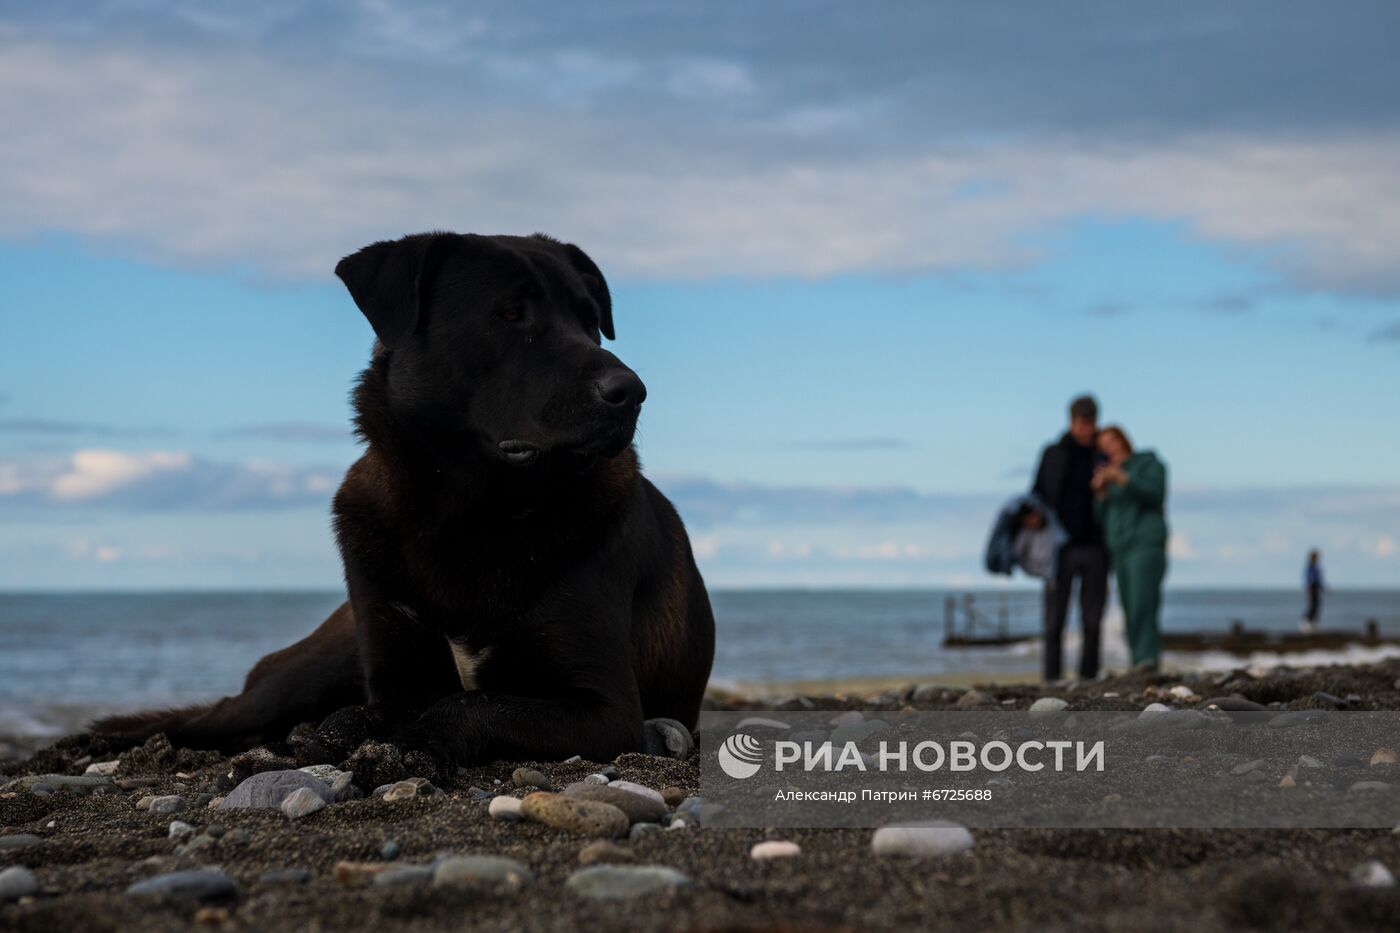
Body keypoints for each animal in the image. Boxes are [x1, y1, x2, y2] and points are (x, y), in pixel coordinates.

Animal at [93, 232, 716, 784]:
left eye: (591, 322)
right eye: (511, 313)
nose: (631, 392)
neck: (471, 508)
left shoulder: (606, 710)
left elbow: (472, 703)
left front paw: (410, 747)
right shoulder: (397, 678)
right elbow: (359, 714)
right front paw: (322, 744)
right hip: (304, 673)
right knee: (221, 713)